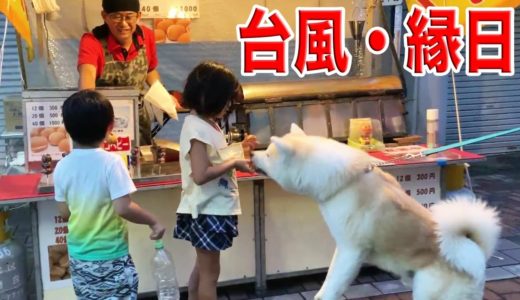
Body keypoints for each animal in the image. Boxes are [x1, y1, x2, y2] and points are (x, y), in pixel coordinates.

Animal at [254, 123, 502, 298]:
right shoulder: (344, 248)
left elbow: (332, 283)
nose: (252, 155)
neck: (346, 183)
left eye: (267, 155)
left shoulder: (350, 250)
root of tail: (474, 252)